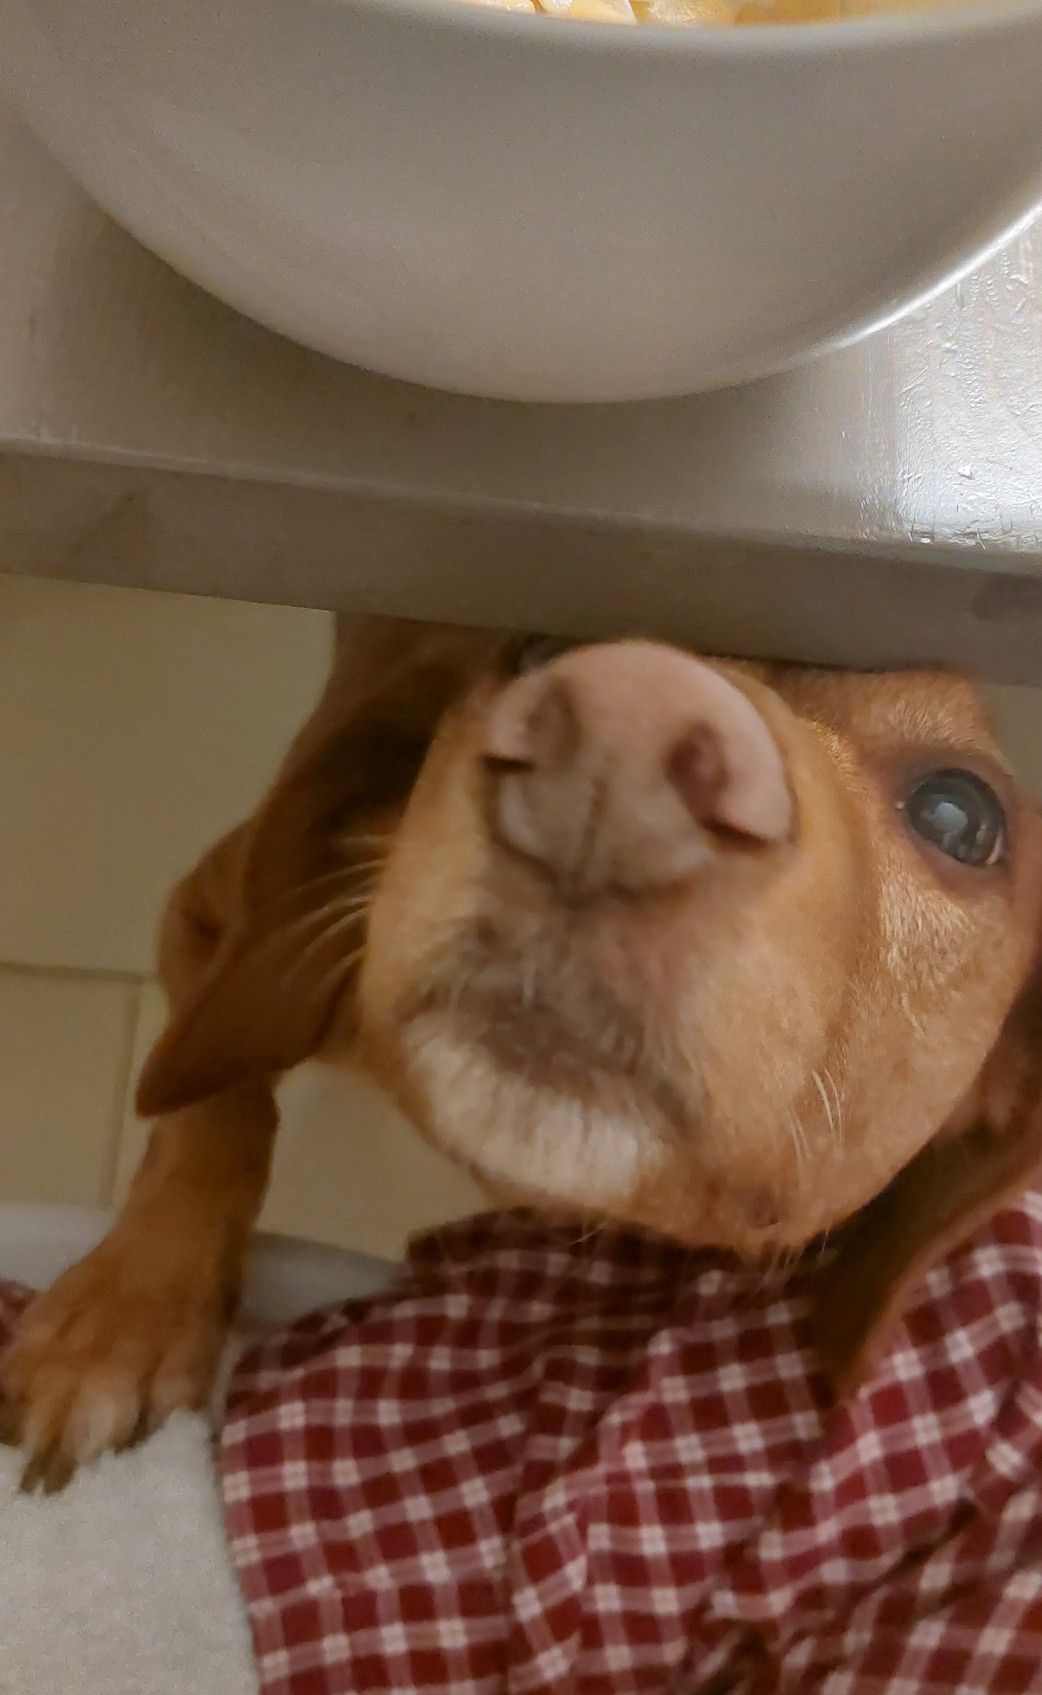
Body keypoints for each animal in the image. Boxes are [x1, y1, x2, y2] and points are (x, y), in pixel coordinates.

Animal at [2, 620, 1042, 1484]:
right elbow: (208, 1107)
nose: (627, 734)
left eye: (958, 814)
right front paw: (125, 1315)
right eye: (541, 641)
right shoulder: (211, 914)